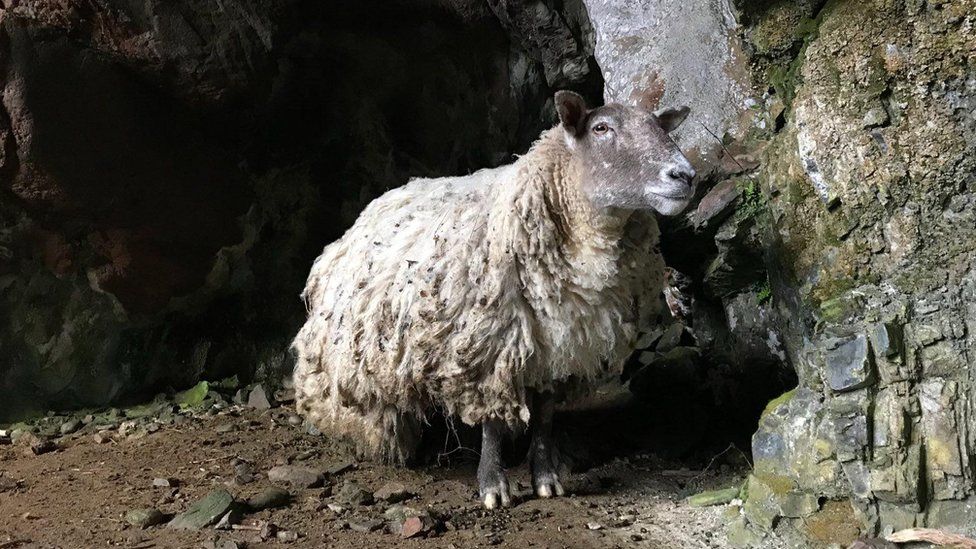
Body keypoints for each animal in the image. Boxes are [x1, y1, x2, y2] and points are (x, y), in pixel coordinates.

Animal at [294, 89, 696, 506]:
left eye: (659, 126)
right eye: (601, 128)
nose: (685, 175)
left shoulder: (560, 347)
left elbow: (546, 417)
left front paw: (546, 479)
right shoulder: (488, 344)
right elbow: (492, 424)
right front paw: (493, 485)